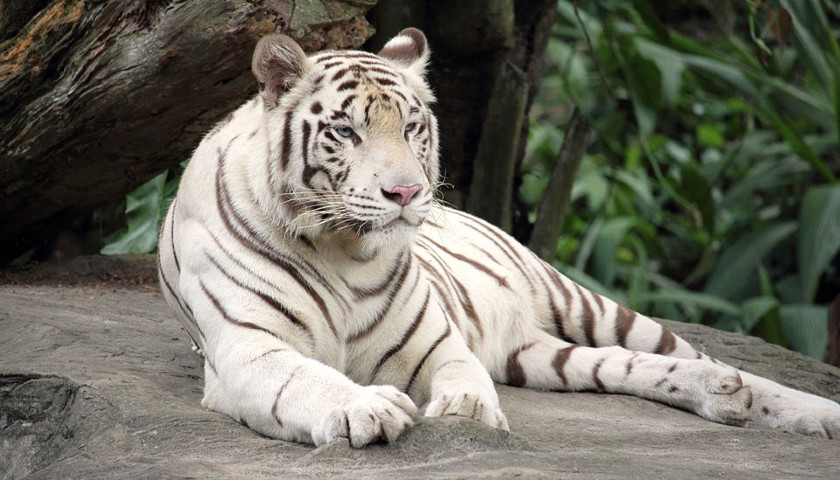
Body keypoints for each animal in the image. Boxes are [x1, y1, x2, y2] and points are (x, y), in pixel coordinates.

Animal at [159, 27, 840, 446]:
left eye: (411, 127)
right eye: (347, 133)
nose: (406, 194)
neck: (343, 250)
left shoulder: (434, 342)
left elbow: (461, 374)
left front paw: (467, 411)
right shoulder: (250, 348)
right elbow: (308, 380)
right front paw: (367, 407)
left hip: (584, 304)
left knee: (705, 358)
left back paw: (802, 410)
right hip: (538, 355)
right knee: (627, 367)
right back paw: (724, 399)